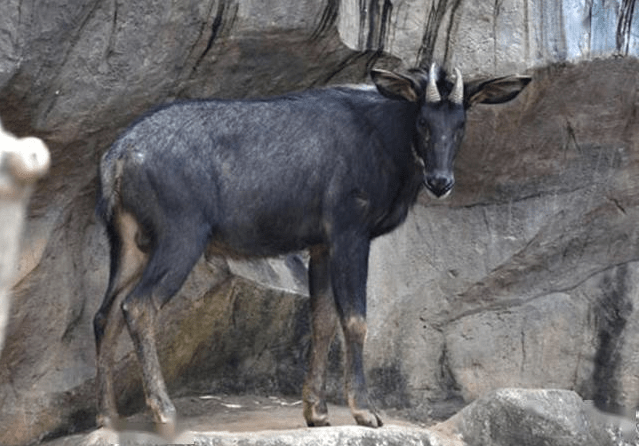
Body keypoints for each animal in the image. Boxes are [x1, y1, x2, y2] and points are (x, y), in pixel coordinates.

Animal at [94, 64, 528, 434]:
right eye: (422, 120)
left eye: (462, 122)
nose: (440, 181)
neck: (389, 147)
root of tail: (115, 160)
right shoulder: (349, 229)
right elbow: (355, 318)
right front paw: (365, 411)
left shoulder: (319, 244)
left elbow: (321, 321)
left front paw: (316, 412)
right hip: (181, 233)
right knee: (138, 306)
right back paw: (164, 412)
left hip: (129, 241)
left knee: (105, 314)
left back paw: (108, 416)